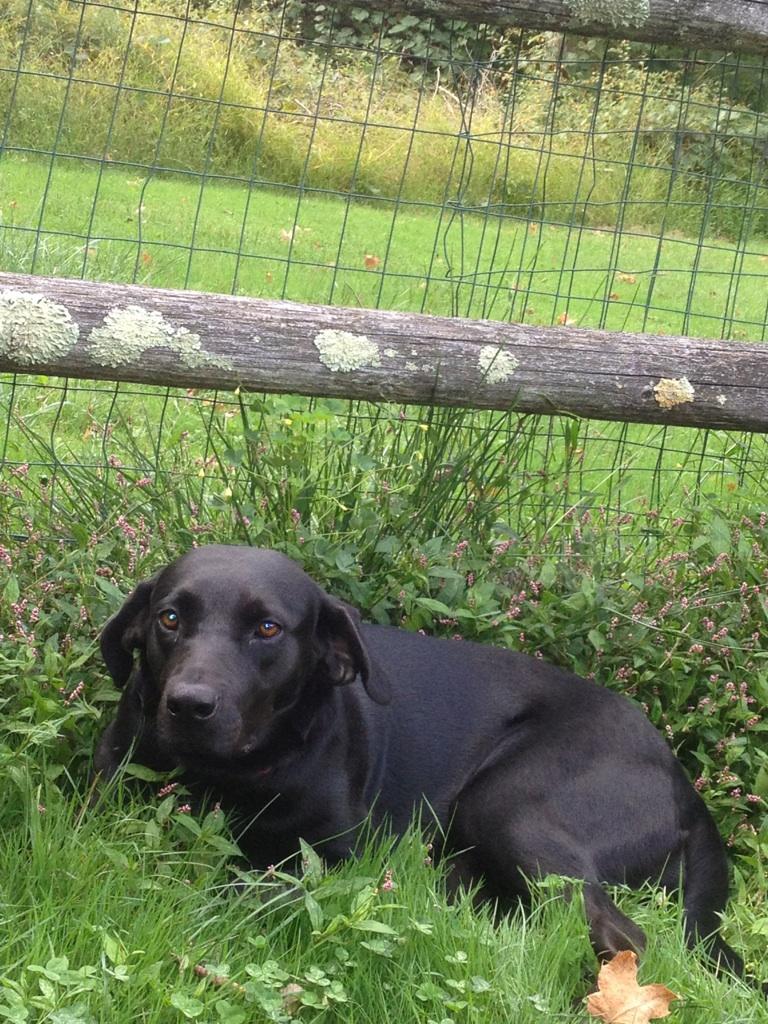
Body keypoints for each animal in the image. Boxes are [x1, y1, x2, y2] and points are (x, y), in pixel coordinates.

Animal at [96, 544, 757, 983]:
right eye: (170, 618)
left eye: (267, 628)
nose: (188, 705)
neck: (229, 776)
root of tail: (684, 785)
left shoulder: (337, 859)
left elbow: (241, 879)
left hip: (506, 802)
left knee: (623, 935)